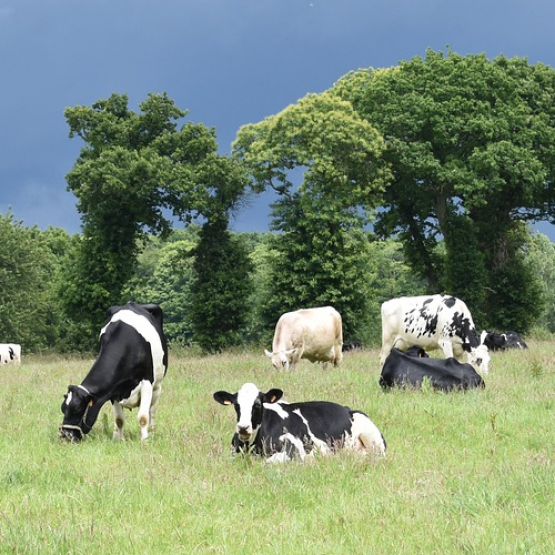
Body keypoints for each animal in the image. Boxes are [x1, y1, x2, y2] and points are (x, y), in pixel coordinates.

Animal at [59, 304, 167, 444]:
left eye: (77, 409)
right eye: (63, 408)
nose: (66, 436)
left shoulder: (146, 382)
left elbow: (143, 417)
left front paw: (145, 441)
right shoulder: (113, 390)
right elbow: (119, 419)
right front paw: (118, 440)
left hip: (157, 386)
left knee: (152, 409)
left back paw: (152, 432)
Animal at [213, 382, 386, 464]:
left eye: (257, 405)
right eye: (236, 405)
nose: (243, 427)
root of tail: (346, 409)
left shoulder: (294, 450)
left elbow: (267, 462)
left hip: (373, 439)